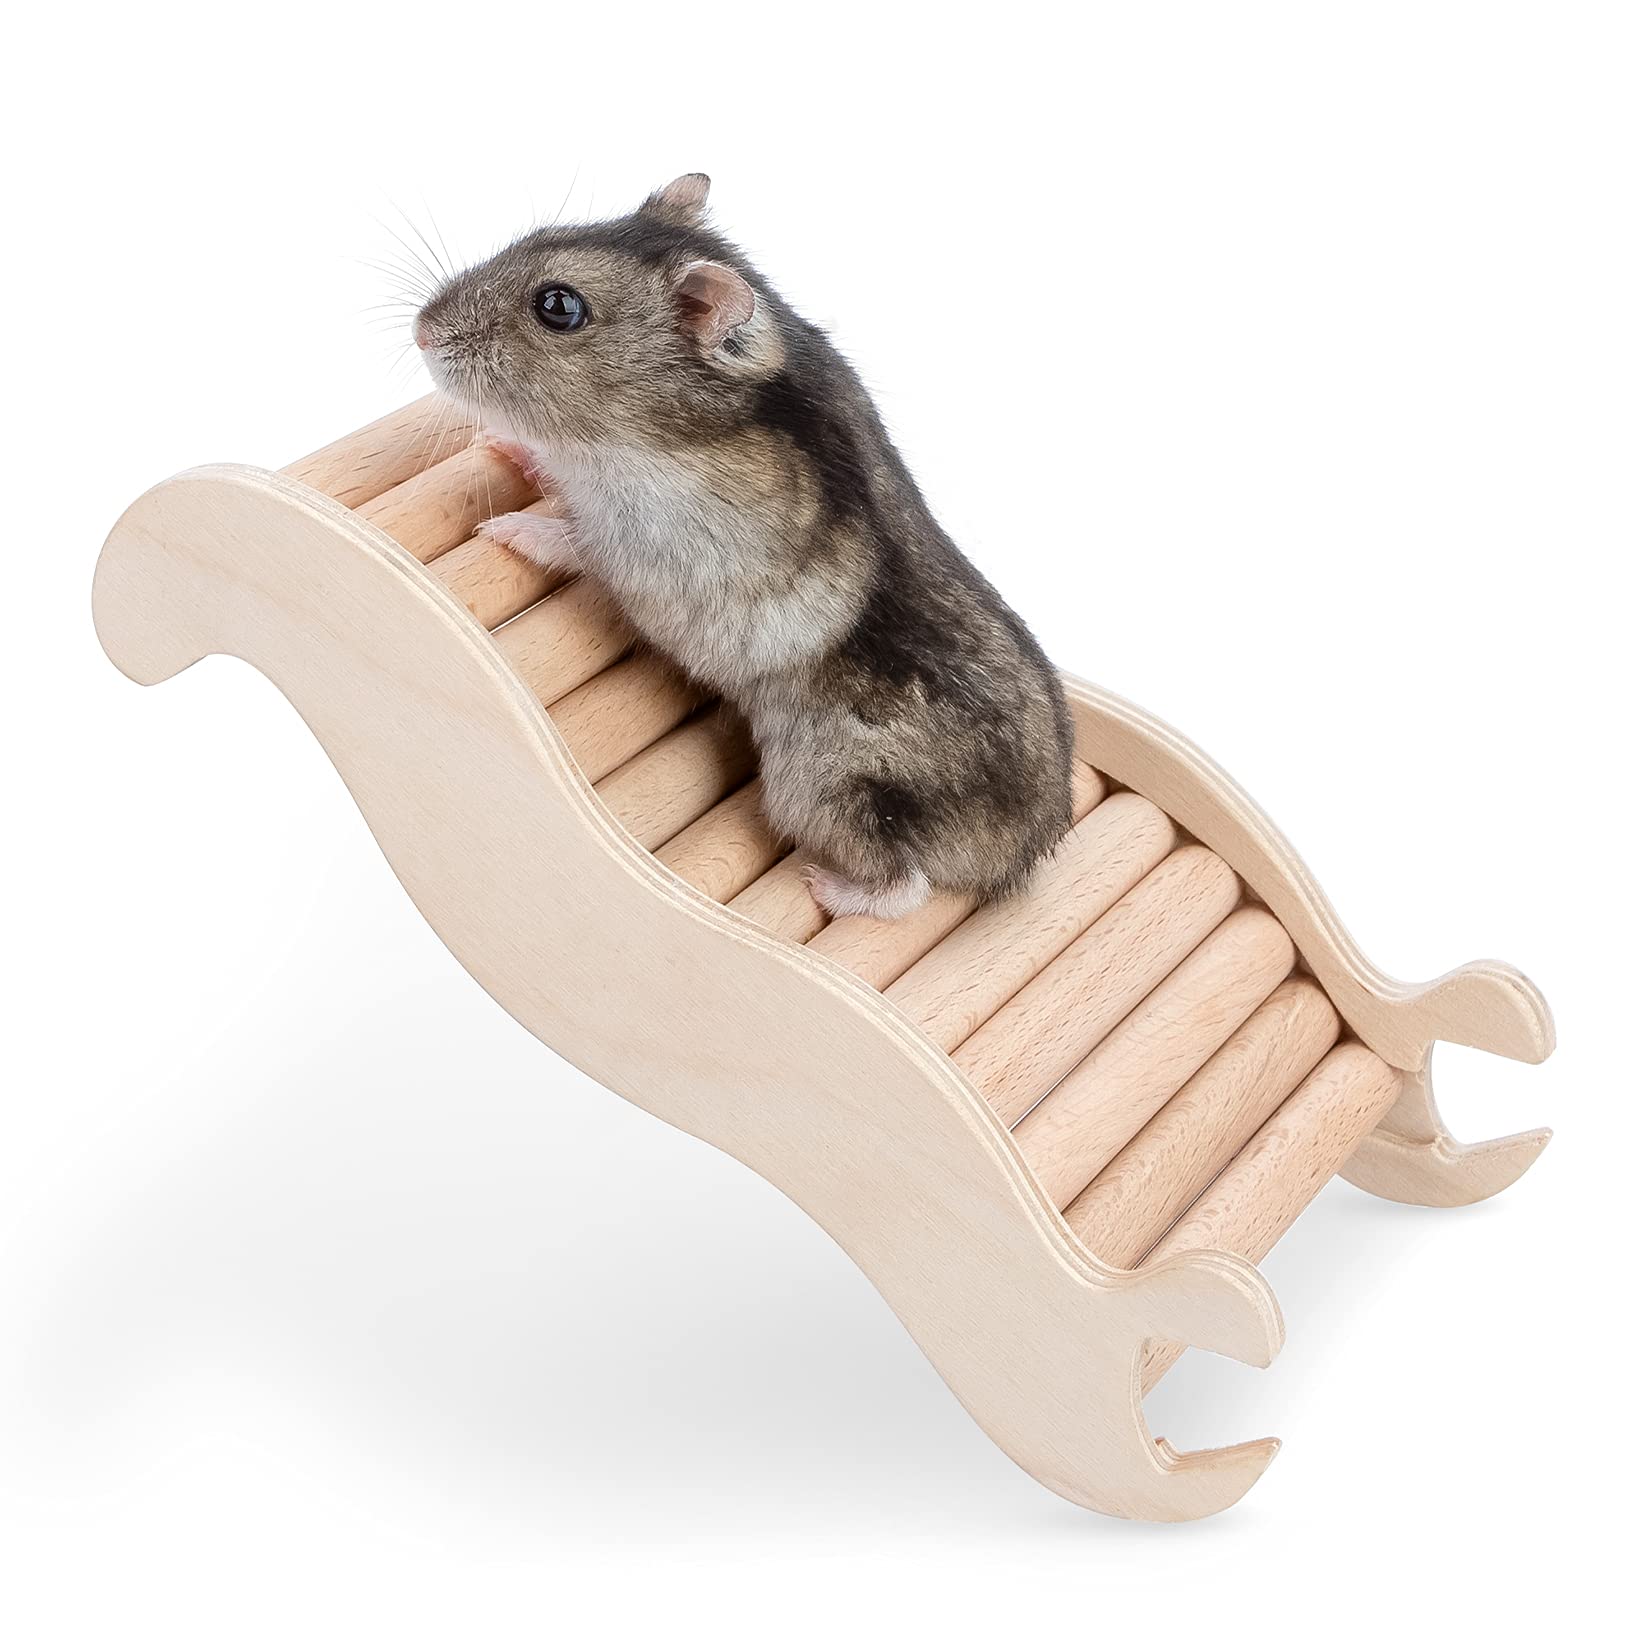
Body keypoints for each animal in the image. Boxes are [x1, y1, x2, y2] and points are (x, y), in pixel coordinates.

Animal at [414, 174, 1074, 920]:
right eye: (533, 236)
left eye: (558, 307)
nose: (420, 329)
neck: (646, 432)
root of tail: (1023, 855)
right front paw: (502, 446)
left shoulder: (652, 548)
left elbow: (578, 542)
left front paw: (500, 529)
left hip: (826, 788)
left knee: (906, 887)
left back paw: (824, 885)